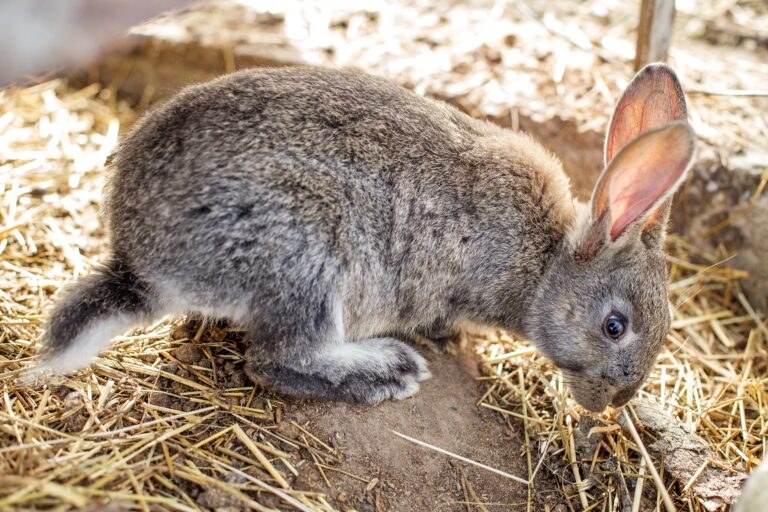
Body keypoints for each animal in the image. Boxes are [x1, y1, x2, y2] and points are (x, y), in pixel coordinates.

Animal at [36, 63, 695, 411]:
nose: (616, 401)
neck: (544, 261)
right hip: (306, 249)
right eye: (615, 326)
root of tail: (141, 264)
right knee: (276, 359)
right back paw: (385, 370)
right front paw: (446, 339)